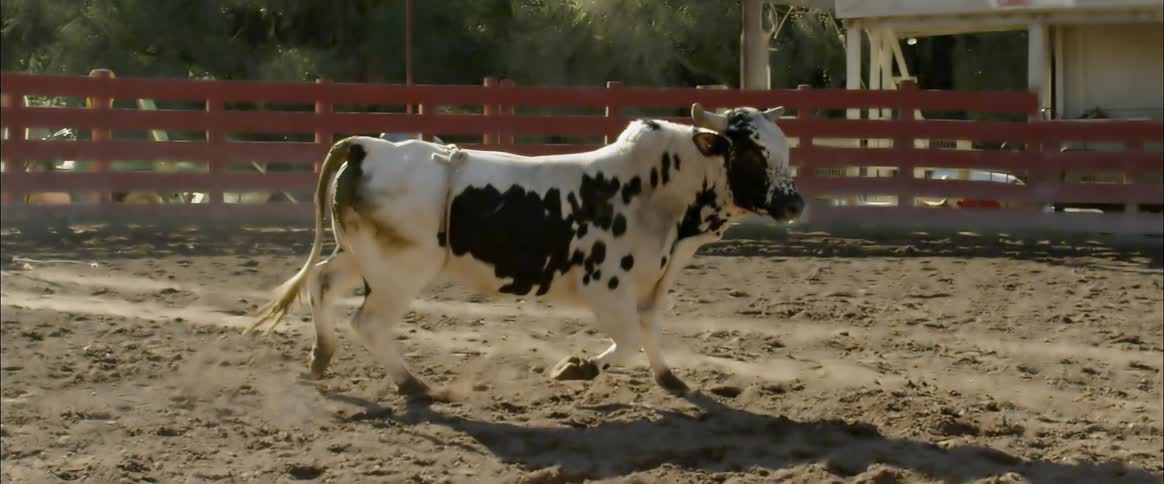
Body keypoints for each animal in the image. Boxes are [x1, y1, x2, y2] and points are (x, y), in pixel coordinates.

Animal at [246, 104, 803, 400]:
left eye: (784, 149)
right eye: (752, 152)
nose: (795, 202)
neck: (658, 192)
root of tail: (370, 145)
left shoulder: (651, 283)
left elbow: (649, 332)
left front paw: (670, 378)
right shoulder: (607, 289)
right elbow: (626, 342)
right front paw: (575, 368)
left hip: (361, 257)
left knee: (320, 283)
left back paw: (322, 358)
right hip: (399, 273)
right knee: (369, 322)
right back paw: (413, 384)